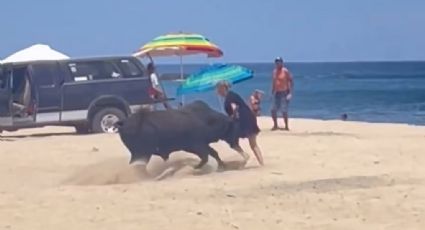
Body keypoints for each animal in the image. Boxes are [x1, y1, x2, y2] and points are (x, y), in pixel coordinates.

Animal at [114, 100, 242, 169]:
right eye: (231, 126)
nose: (235, 143)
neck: (204, 119)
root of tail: (124, 123)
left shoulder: (200, 145)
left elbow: (214, 153)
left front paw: (222, 166)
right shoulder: (197, 145)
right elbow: (205, 156)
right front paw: (195, 167)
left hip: (139, 154)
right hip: (141, 154)